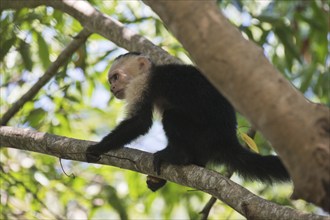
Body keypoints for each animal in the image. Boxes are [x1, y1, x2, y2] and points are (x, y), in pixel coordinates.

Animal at [86, 51, 290, 191]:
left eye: (115, 77)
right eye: (111, 80)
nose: (112, 88)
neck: (149, 72)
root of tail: (228, 139)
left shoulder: (140, 84)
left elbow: (140, 122)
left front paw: (98, 148)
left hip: (204, 135)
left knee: (172, 116)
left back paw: (178, 156)